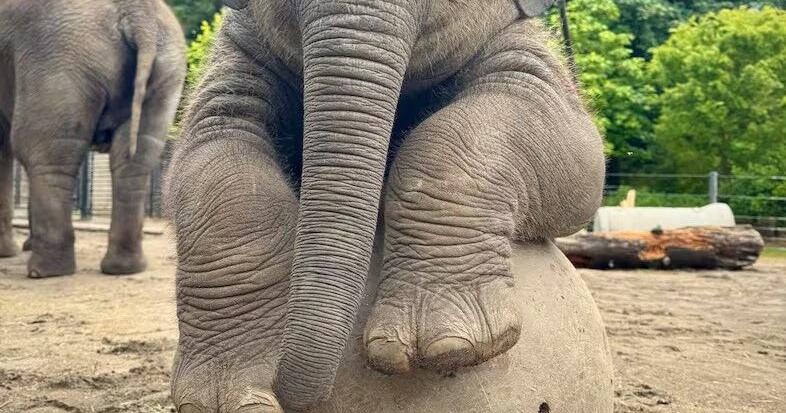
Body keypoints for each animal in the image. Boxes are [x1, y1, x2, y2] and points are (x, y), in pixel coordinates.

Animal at [0, 0, 186, 277]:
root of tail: (139, 14)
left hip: (60, 61)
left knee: (44, 154)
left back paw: (45, 271)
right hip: (167, 73)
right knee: (135, 160)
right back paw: (124, 268)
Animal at [165, 0, 608, 411]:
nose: (285, 388)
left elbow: (580, 158)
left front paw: (447, 344)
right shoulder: (236, 52)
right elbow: (213, 165)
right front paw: (227, 401)